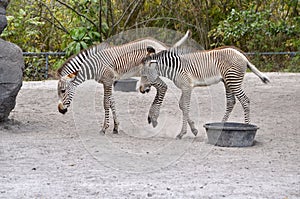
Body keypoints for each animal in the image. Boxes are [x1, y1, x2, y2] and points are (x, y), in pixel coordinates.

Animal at [57, 30, 191, 134]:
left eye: (63, 91)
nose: (60, 110)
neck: (95, 65)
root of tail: (161, 45)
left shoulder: (107, 81)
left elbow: (106, 103)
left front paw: (104, 128)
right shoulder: (109, 82)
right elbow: (112, 102)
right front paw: (115, 127)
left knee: (164, 87)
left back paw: (153, 117)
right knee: (162, 88)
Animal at [139, 45, 270, 139]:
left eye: (144, 75)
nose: (141, 89)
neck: (175, 68)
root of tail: (243, 57)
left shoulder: (187, 87)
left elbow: (185, 106)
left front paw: (182, 133)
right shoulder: (184, 87)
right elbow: (182, 105)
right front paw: (194, 130)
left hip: (233, 81)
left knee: (245, 100)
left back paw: (247, 127)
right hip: (228, 82)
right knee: (231, 102)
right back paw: (221, 126)